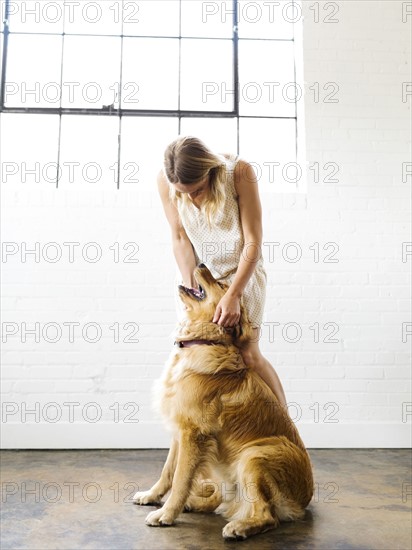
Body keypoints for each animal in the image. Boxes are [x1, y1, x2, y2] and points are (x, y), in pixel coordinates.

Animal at [134, 266, 314, 540]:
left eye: (222, 285)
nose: (201, 265)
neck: (204, 342)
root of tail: (305, 501)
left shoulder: (193, 433)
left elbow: (181, 479)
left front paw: (165, 514)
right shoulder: (180, 431)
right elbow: (168, 472)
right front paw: (151, 496)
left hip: (254, 454)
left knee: (267, 515)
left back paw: (239, 527)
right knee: (222, 499)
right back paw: (197, 503)